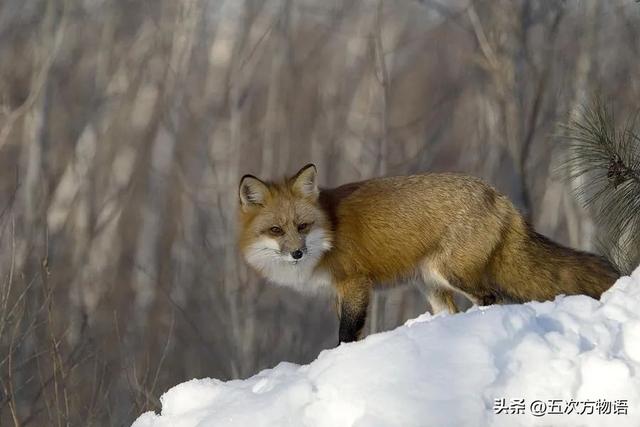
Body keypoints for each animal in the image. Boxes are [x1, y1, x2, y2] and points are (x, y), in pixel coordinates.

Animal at [238, 164, 616, 344]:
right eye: (276, 230)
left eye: (302, 226)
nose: (297, 254)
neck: (328, 229)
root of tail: (499, 196)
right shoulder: (340, 293)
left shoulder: (355, 283)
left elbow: (347, 334)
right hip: (431, 284)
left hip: (452, 273)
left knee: (490, 298)